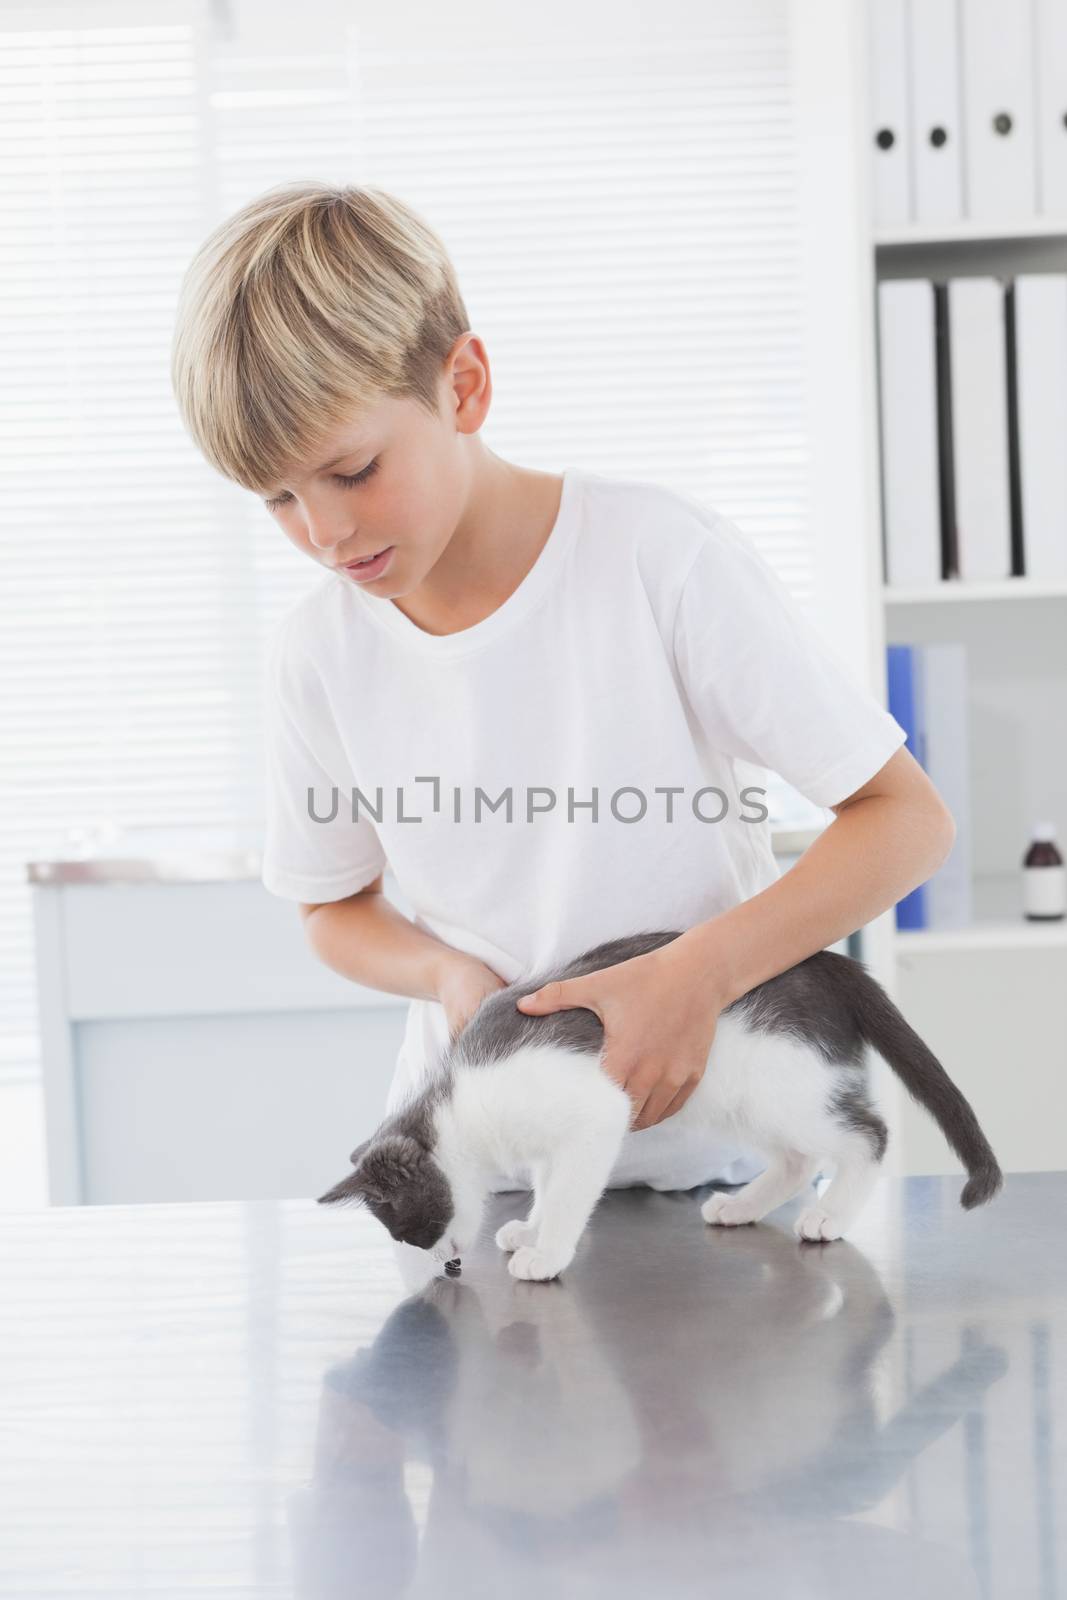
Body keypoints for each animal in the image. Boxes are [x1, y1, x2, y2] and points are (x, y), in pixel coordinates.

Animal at [321, 934, 1004, 1280]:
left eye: (412, 1229)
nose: (447, 1265)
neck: (460, 1106)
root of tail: (827, 961)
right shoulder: (547, 1142)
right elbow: (547, 1183)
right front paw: (531, 1227)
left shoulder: (593, 1115)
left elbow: (570, 1192)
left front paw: (548, 1251)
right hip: (738, 1095)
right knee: (796, 1158)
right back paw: (741, 1205)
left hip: (778, 1082)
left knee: (866, 1134)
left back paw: (830, 1215)